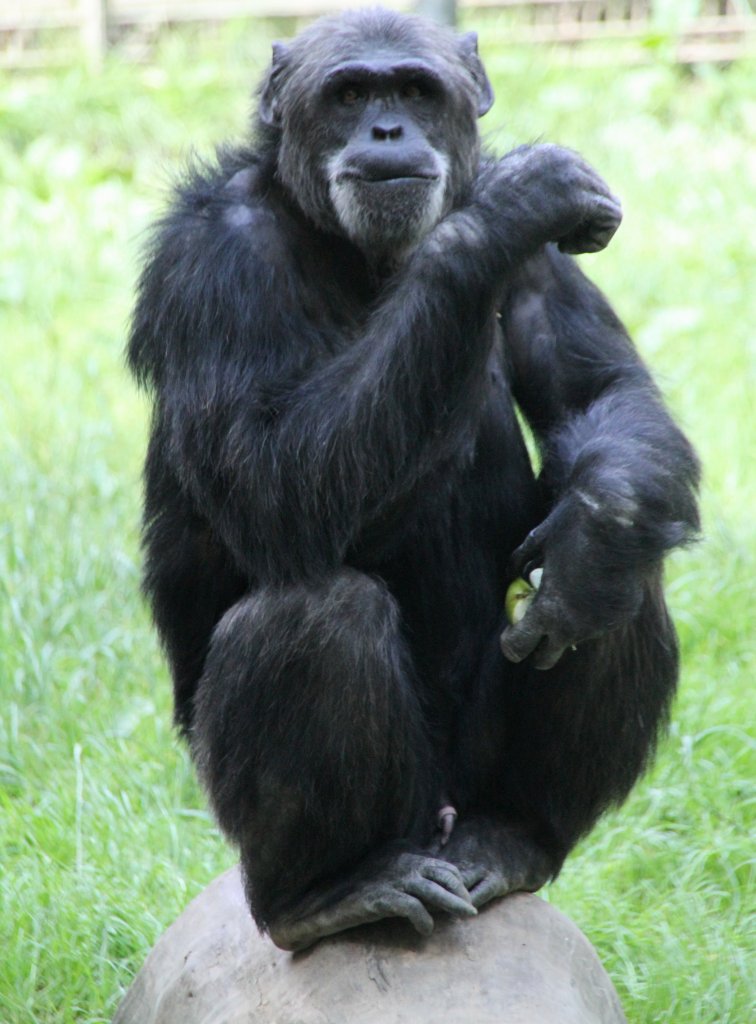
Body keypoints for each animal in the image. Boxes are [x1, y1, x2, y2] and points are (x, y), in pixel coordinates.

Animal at [126, 8, 696, 950]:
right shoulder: (215, 261)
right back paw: (325, 892)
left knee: (619, 589)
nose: (387, 130)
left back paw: (516, 831)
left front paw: (593, 537)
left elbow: (604, 394)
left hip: (468, 787)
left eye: (417, 92)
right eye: (351, 93)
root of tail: (441, 822)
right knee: (316, 615)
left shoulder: (548, 268)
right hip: (363, 810)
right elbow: (273, 480)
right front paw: (504, 211)